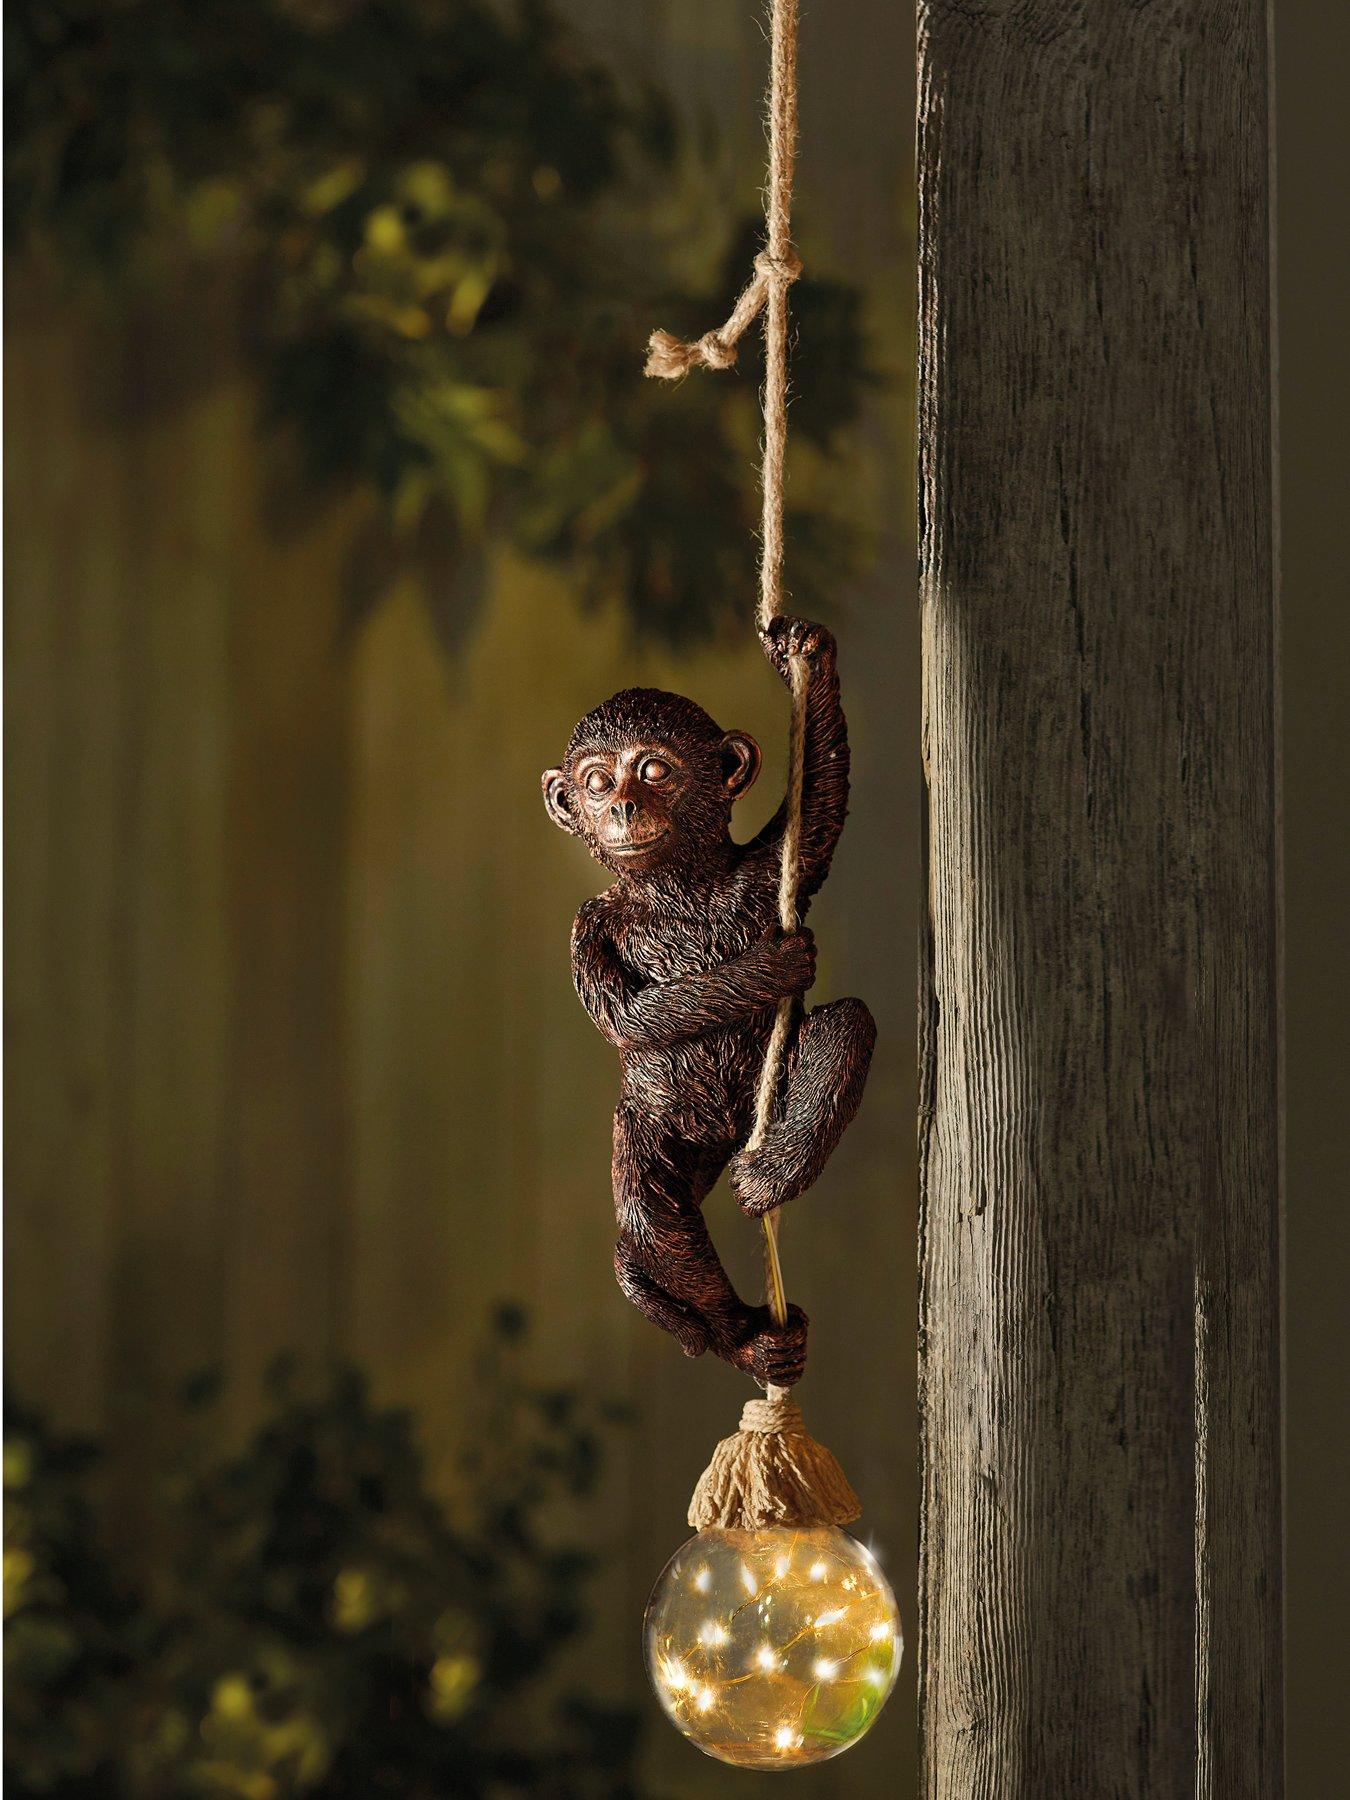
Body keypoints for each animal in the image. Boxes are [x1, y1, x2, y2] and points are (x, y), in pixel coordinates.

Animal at [542, 617, 875, 1388]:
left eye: (654, 771)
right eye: (595, 783)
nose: (622, 806)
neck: (675, 886)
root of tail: (725, 1139)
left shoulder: (764, 870)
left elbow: (820, 803)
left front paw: (803, 653)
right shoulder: (586, 925)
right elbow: (626, 1019)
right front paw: (774, 964)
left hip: (763, 1101)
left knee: (844, 1027)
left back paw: (772, 1176)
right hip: (655, 1129)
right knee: (650, 1229)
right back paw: (748, 1339)